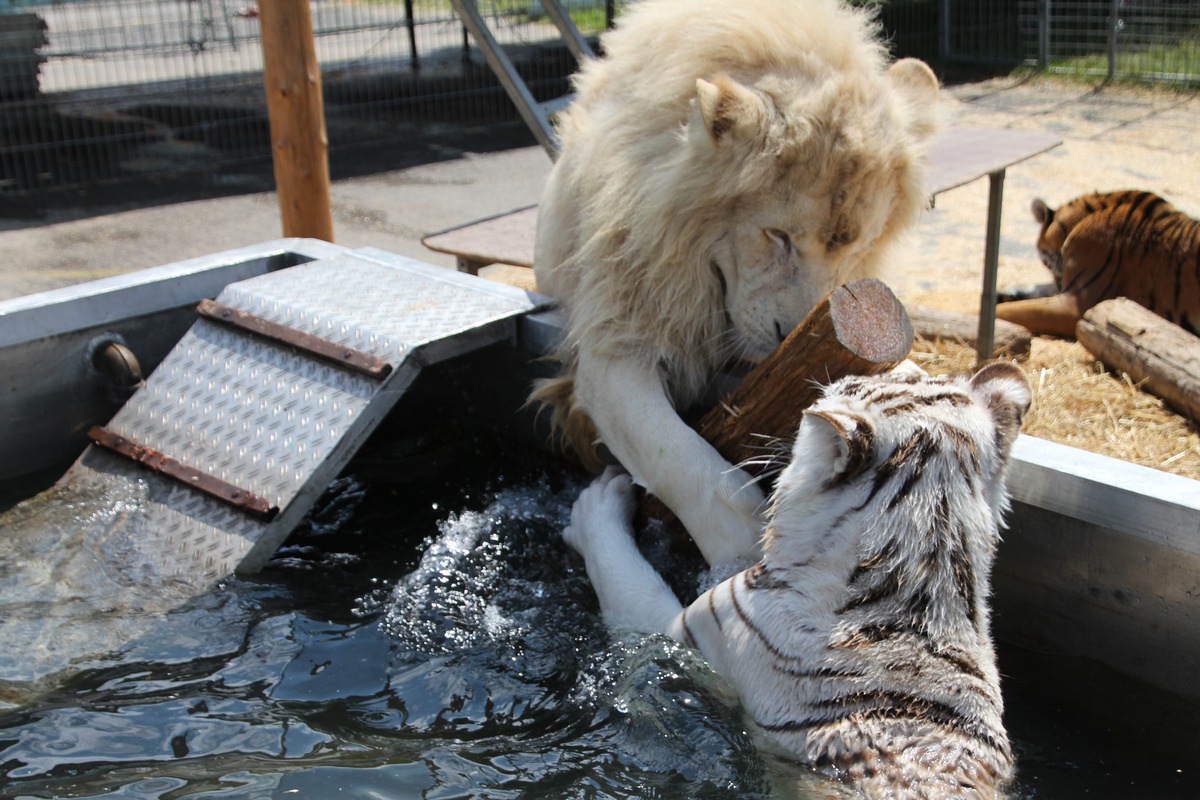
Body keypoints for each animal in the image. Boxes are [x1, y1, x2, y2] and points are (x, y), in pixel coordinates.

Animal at [532, 0, 936, 566]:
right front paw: (746, 553)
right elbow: (677, 457)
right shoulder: (615, 340)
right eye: (777, 235)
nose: (788, 336)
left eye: (855, 248)